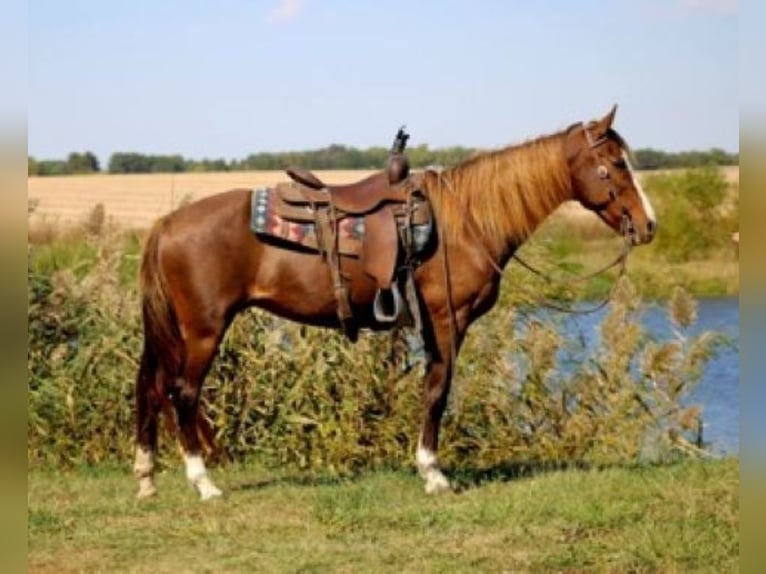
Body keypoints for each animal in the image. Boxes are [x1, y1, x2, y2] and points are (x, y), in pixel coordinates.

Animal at [133, 105, 656, 499]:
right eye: (615, 164)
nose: (649, 224)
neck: (464, 221)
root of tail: (167, 224)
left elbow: (430, 389)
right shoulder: (448, 320)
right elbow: (438, 391)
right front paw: (433, 473)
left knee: (152, 388)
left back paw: (146, 477)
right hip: (204, 329)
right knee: (182, 393)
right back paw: (204, 483)